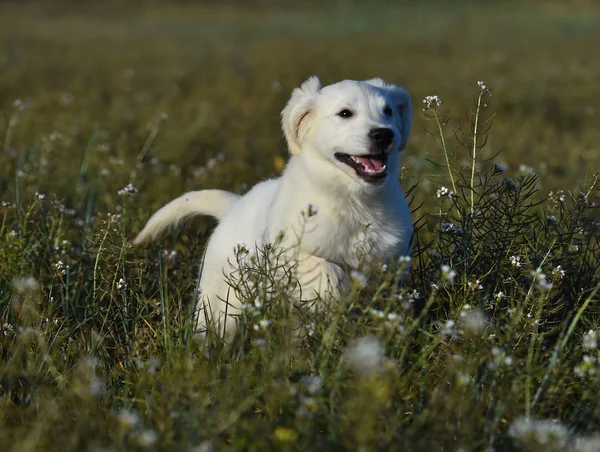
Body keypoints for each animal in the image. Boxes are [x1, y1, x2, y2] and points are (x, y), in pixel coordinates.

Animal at [132, 77, 412, 340]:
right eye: (345, 113)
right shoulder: (286, 253)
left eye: (388, 111)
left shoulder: (392, 263)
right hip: (221, 304)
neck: (354, 201)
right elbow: (327, 270)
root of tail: (234, 205)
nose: (384, 134)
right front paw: (339, 300)